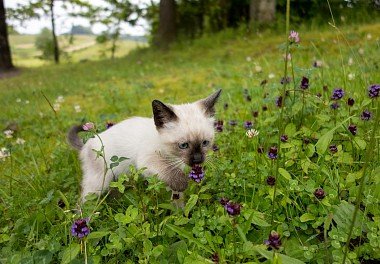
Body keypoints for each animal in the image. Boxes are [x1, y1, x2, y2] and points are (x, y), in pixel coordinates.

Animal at [68, 89, 221, 201]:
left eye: (205, 143)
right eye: (183, 145)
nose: (197, 159)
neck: (172, 157)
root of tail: (87, 143)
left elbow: (176, 198)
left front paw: (180, 215)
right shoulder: (149, 161)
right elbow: (170, 173)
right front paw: (182, 185)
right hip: (99, 182)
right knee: (84, 202)